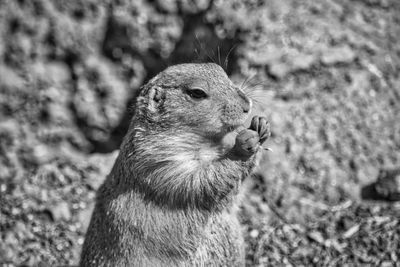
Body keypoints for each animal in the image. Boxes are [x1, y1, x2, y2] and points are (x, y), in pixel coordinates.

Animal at [79, 63, 270, 266]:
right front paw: (244, 142)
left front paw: (262, 125)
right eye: (197, 93)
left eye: (221, 70)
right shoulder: (158, 163)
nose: (247, 104)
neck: (206, 141)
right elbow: (200, 182)